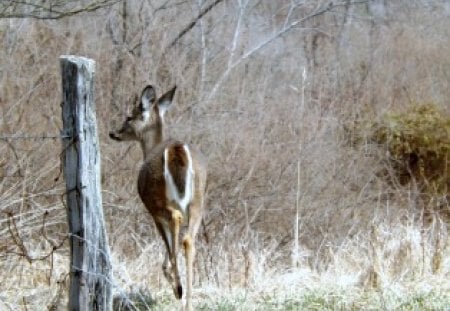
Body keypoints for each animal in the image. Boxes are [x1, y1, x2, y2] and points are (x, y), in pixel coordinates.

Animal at [109, 85, 207, 311]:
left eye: (129, 116)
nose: (113, 133)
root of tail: (176, 150)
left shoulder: (152, 212)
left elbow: (167, 249)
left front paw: (173, 282)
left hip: (156, 200)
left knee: (175, 220)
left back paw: (179, 289)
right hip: (198, 200)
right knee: (188, 239)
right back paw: (188, 301)